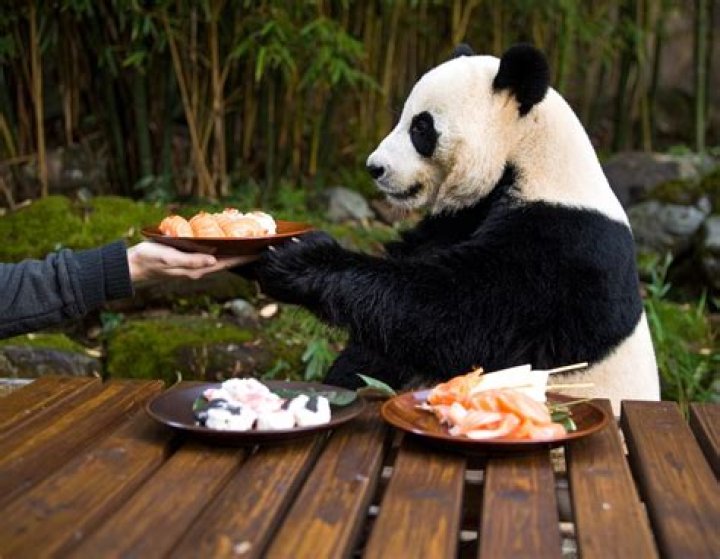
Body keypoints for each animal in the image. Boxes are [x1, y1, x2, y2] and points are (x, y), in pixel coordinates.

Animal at [254, 44, 660, 414]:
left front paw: (302, 259)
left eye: (421, 127)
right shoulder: (459, 219)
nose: (375, 167)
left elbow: (461, 316)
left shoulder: (564, 248)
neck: (529, 157)